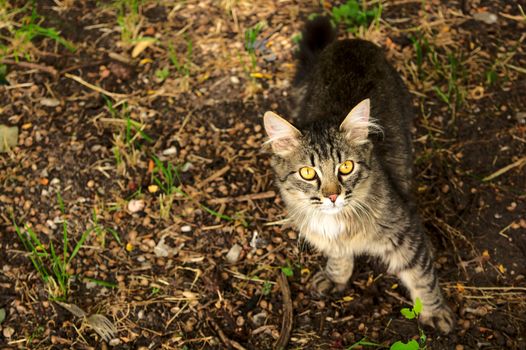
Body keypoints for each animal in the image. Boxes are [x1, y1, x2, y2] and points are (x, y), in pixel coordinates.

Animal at [266, 17, 456, 334]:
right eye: (308, 172)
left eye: (346, 167)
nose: (332, 196)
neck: (336, 221)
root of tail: (349, 42)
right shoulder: (332, 242)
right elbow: (339, 257)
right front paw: (336, 277)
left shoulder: (405, 232)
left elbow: (422, 276)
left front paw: (436, 311)